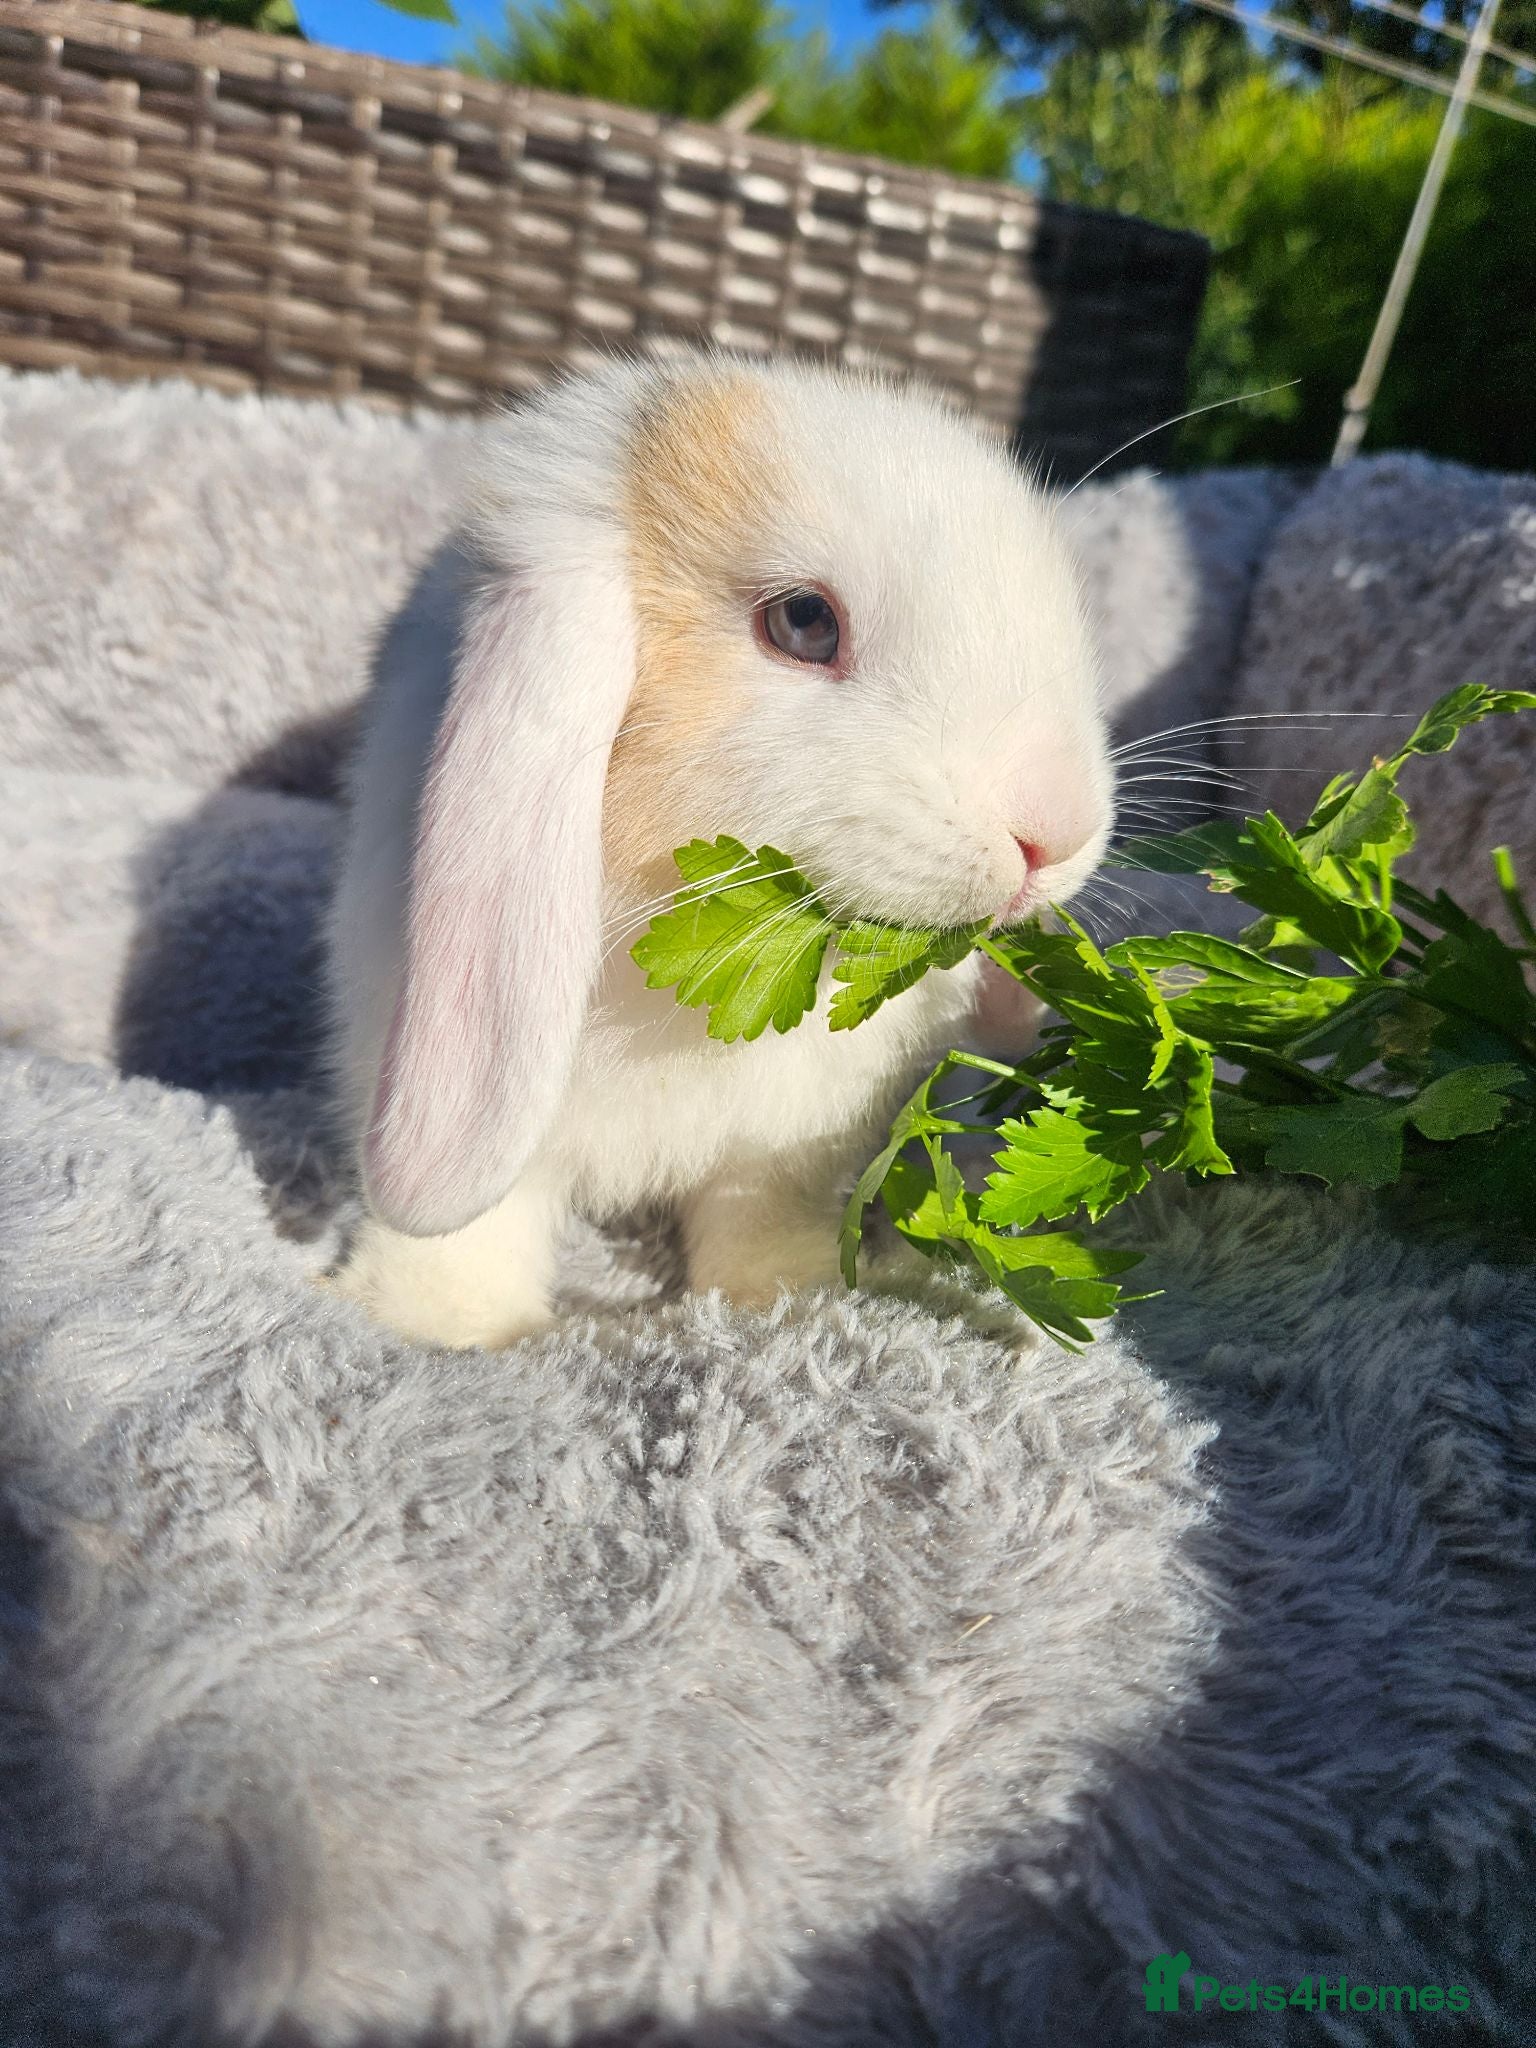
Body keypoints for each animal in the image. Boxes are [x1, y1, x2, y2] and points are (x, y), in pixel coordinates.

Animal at [325, 349, 1115, 1350]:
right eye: (804, 622)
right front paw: (443, 1327)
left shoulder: (782, 1152)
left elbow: (759, 1213)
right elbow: (473, 1230)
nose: (1055, 830)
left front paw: (783, 1296)